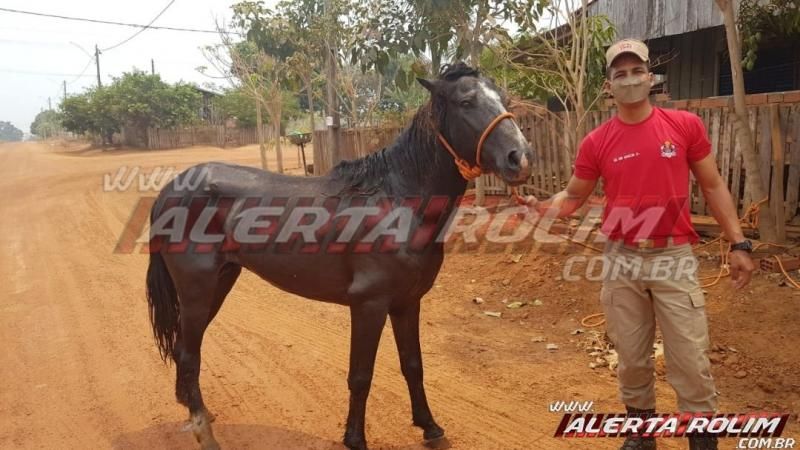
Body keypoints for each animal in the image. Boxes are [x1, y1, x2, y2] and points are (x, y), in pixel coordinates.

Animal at [145, 62, 534, 450]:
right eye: (466, 101)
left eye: (504, 98)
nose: (520, 158)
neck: (398, 201)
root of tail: (170, 189)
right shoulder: (368, 303)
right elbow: (361, 375)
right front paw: (355, 438)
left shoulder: (407, 302)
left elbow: (413, 365)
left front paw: (430, 427)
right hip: (197, 291)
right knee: (188, 354)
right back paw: (203, 430)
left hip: (220, 282)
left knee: (183, 348)